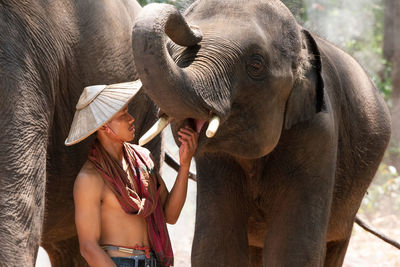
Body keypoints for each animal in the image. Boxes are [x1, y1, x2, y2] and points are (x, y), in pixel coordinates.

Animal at [130, 1, 390, 266]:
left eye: (255, 65)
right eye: (174, 53)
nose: (193, 30)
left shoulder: (318, 134)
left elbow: (294, 247)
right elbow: (216, 243)